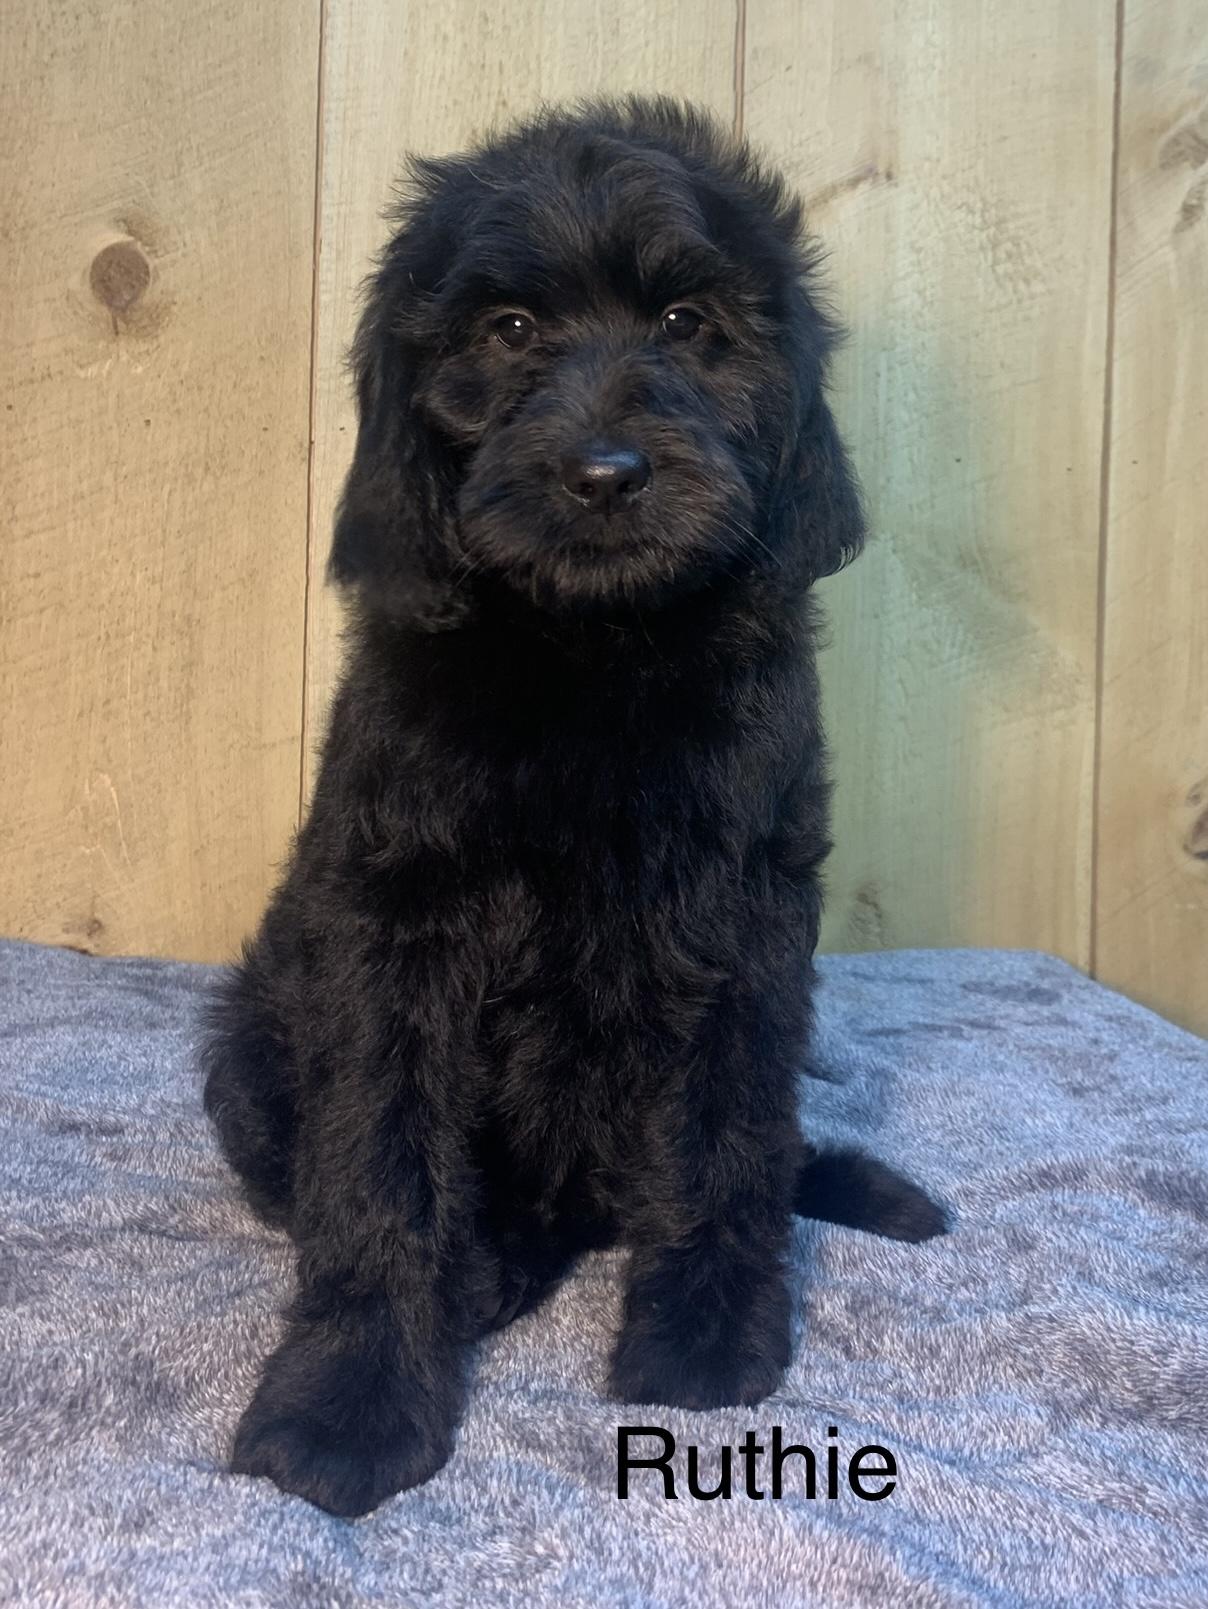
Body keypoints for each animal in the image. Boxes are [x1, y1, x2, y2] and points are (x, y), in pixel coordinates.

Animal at [203, 97, 945, 1518]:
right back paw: (480, 1272)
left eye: (687, 324)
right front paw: (349, 1396)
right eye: (506, 331)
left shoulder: (739, 905)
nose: (606, 472)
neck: (588, 645)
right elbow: (375, 1156)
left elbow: (727, 1124)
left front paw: (705, 1339)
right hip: (250, 1046)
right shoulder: (393, 915)